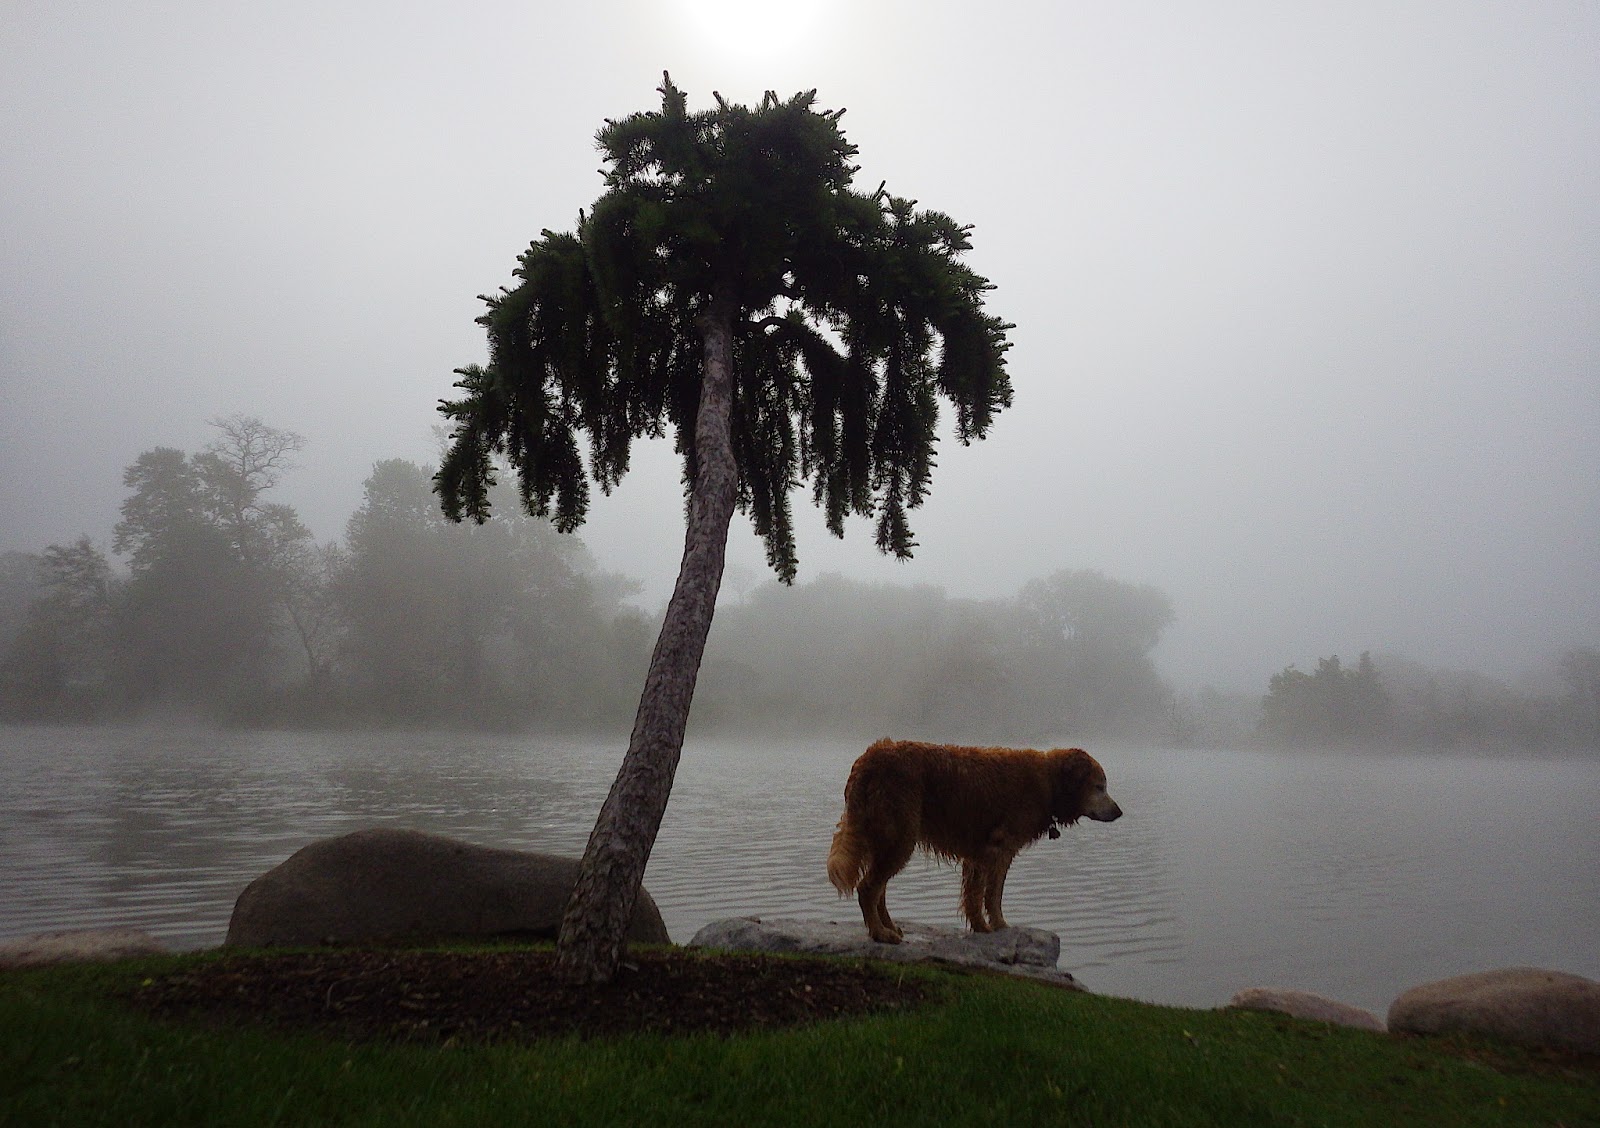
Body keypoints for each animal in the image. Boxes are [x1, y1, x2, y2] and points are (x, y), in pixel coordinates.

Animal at [826, 739, 1122, 942]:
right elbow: (986, 895)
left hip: (887, 839)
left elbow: (985, 895)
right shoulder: (993, 851)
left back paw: (888, 926)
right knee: (868, 888)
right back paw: (880, 933)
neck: (1048, 784)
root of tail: (870, 757)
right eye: (1099, 786)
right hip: (899, 838)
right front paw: (990, 926)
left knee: (879, 890)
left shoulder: (988, 854)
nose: (1119, 812)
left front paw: (992, 927)